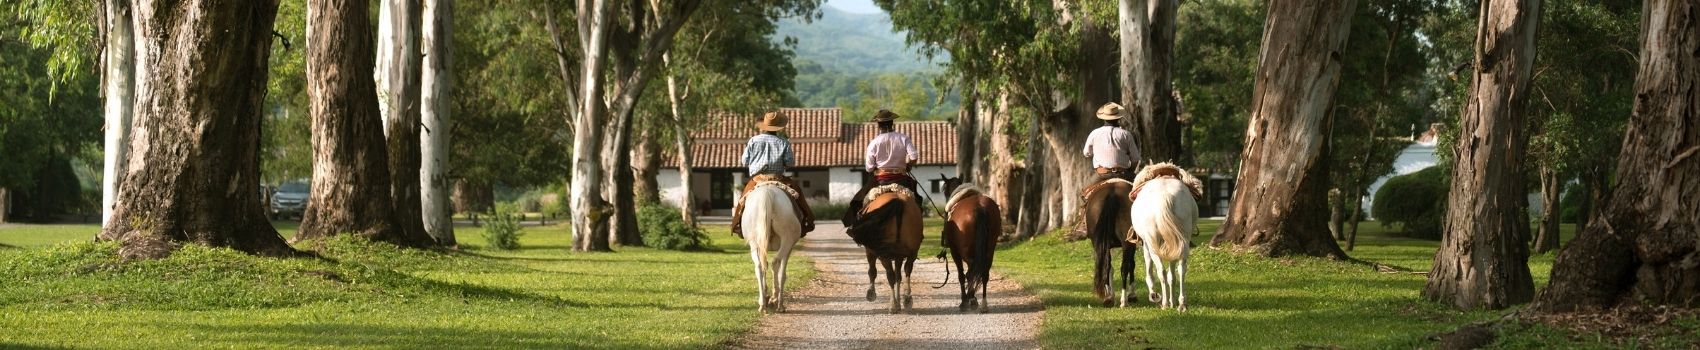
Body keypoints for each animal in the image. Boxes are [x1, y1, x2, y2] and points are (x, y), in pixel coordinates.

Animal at [737, 181, 802, 312]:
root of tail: (768, 193)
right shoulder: (790, 248)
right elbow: (783, 273)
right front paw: (773, 298)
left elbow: (764, 265)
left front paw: (766, 295)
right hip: (787, 240)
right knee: (776, 263)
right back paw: (778, 302)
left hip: (754, 243)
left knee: (759, 266)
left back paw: (763, 304)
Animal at [843, 184, 924, 312]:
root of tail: (899, 201)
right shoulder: (898, 256)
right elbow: (898, 276)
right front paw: (899, 300)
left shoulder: (870, 250)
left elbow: (872, 271)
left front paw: (871, 293)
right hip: (912, 251)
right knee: (907, 270)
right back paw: (907, 298)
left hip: (883, 253)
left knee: (890, 275)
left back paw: (893, 305)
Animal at [938, 184, 999, 312]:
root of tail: (980, 207)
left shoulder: (954, 251)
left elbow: (961, 275)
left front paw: (966, 300)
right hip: (990, 249)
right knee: (984, 273)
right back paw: (983, 304)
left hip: (965, 251)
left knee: (970, 272)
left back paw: (968, 300)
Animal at [1081, 179, 1135, 307]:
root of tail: (1111, 193)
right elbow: (1132, 265)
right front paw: (1132, 294)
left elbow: (1110, 268)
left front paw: (1111, 294)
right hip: (1126, 243)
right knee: (1124, 267)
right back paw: (1123, 301)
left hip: (1098, 242)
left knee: (1105, 265)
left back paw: (1108, 298)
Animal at [1128, 163, 1196, 312]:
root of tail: (1165, 195)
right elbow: (1172, 276)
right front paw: (1173, 301)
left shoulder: (1146, 245)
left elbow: (1150, 271)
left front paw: (1154, 295)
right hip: (1182, 241)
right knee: (1181, 270)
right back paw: (1181, 303)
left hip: (1153, 245)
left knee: (1161, 272)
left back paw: (1164, 302)